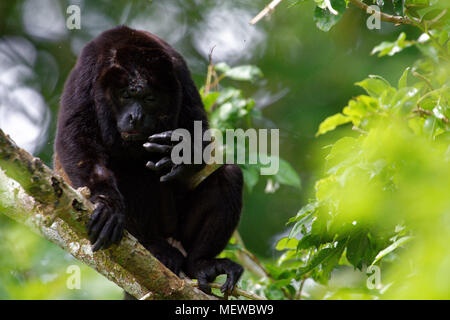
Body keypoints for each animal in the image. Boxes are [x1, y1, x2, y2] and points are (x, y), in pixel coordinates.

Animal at [54, 25, 244, 296]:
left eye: (150, 99)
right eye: (125, 96)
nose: (135, 116)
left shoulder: (179, 72)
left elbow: (201, 132)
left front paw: (181, 154)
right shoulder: (87, 71)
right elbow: (77, 139)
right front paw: (107, 203)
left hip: (176, 228)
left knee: (230, 176)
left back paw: (201, 264)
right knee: (130, 170)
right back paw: (152, 246)